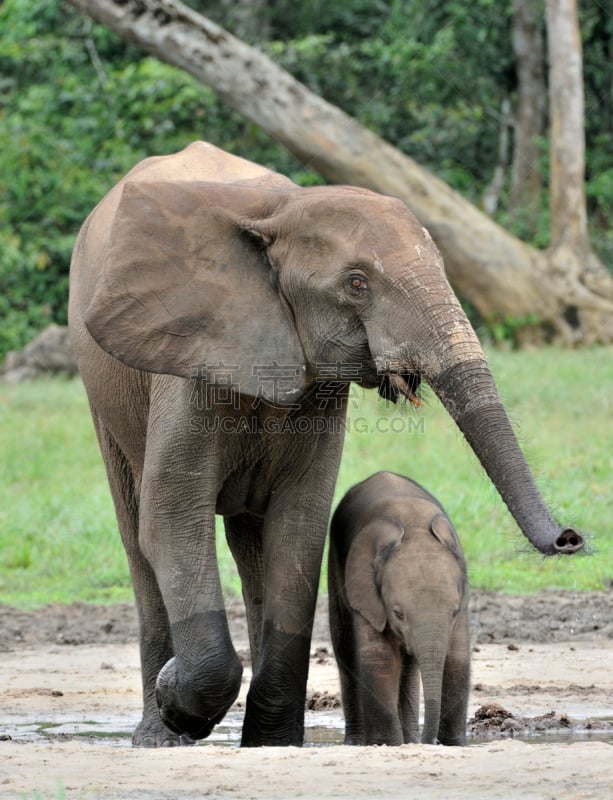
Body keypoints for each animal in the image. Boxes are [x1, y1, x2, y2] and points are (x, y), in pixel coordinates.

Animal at [330, 472, 468, 748]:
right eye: (397, 614)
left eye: (454, 612)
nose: (430, 743)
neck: (413, 524)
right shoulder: (365, 591)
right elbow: (379, 657)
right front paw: (387, 744)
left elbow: (458, 658)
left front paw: (455, 745)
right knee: (345, 653)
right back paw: (357, 742)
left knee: (409, 666)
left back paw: (410, 739)